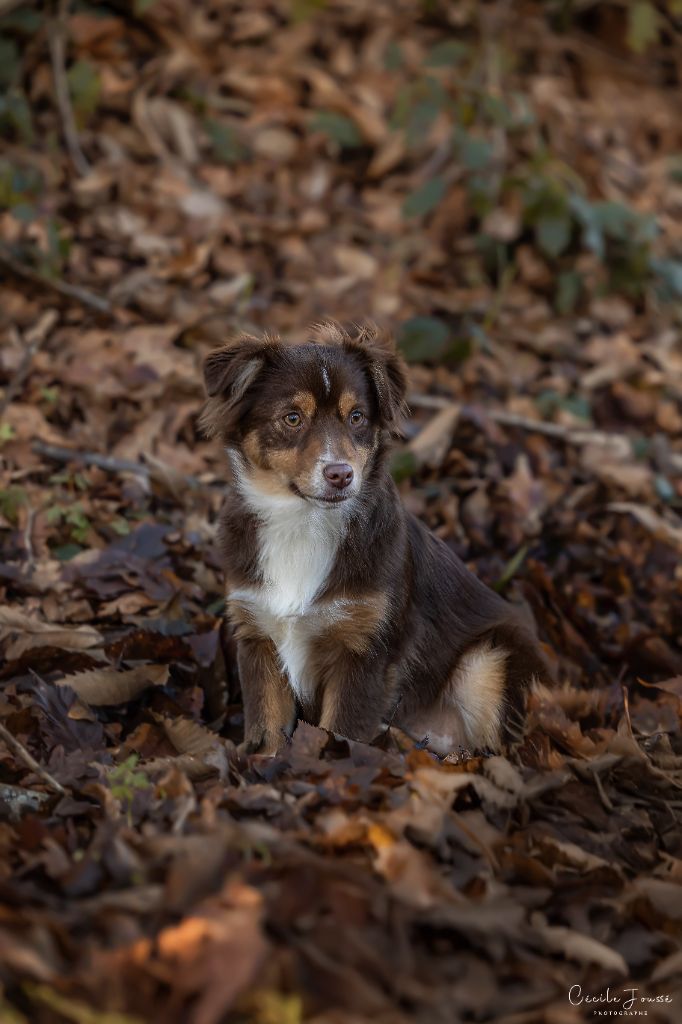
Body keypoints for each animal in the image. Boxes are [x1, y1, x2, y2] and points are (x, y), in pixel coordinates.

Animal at [200, 323, 548, 757]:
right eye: (292, 418)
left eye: (357, 417)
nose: (340, 474)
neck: (304, 522)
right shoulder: (258, 633)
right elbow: (268, 726)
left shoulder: (366, 651)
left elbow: (341, 732)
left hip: (491, 661)